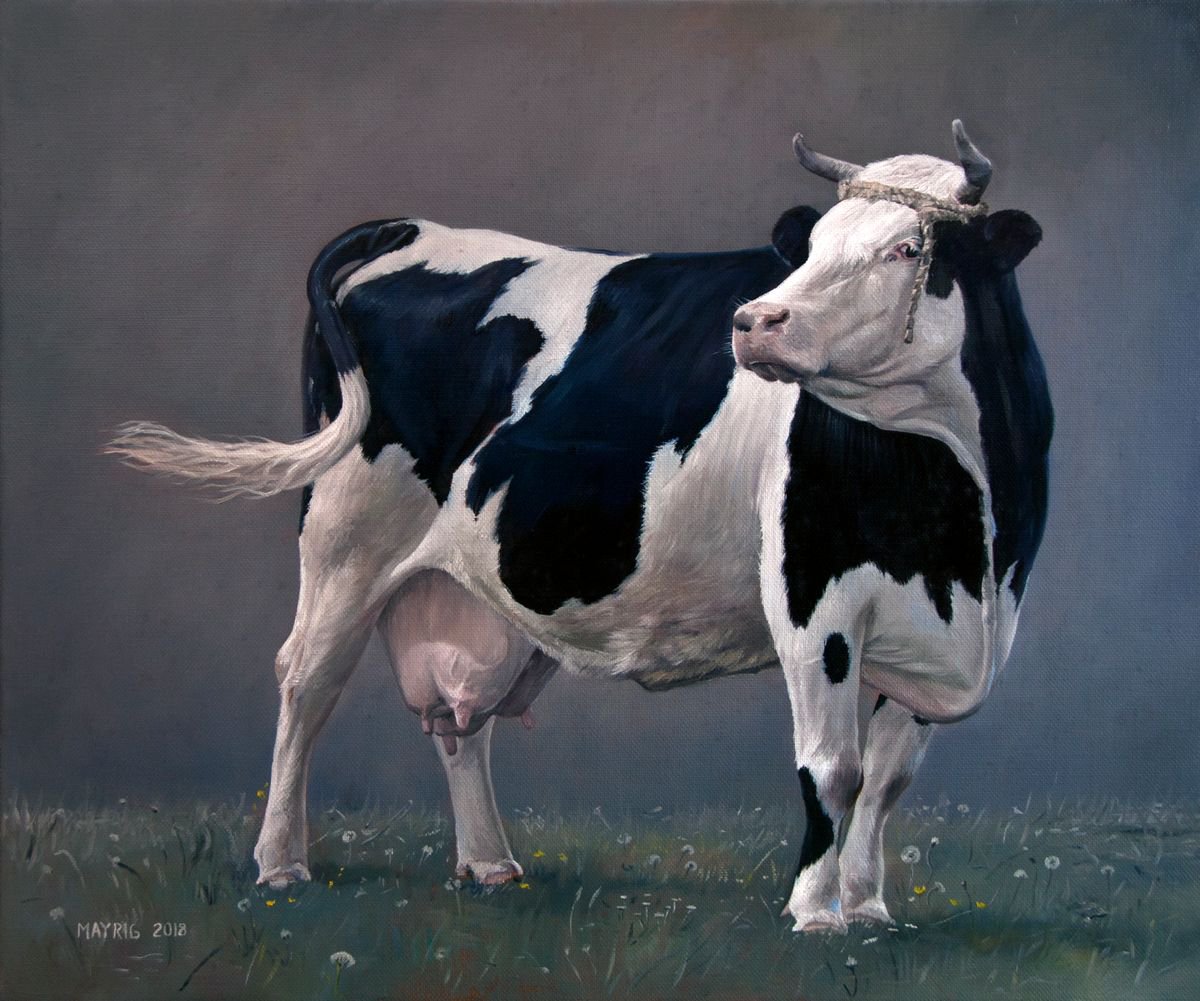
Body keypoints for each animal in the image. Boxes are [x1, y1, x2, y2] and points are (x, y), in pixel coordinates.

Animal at [109, 120, 1051, 933]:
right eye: (813, 245)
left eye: (906, 249)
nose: (753, 322)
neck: (967, 535)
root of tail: (411, 228)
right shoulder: (815, 602)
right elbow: (836, 769)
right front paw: (816, 914)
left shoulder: (940, 635)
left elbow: (888, 780)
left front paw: (870, 909)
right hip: (346, 536)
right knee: (307, 680)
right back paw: (280, 863)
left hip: (464, 584)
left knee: (458, 715)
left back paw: (489, 863)